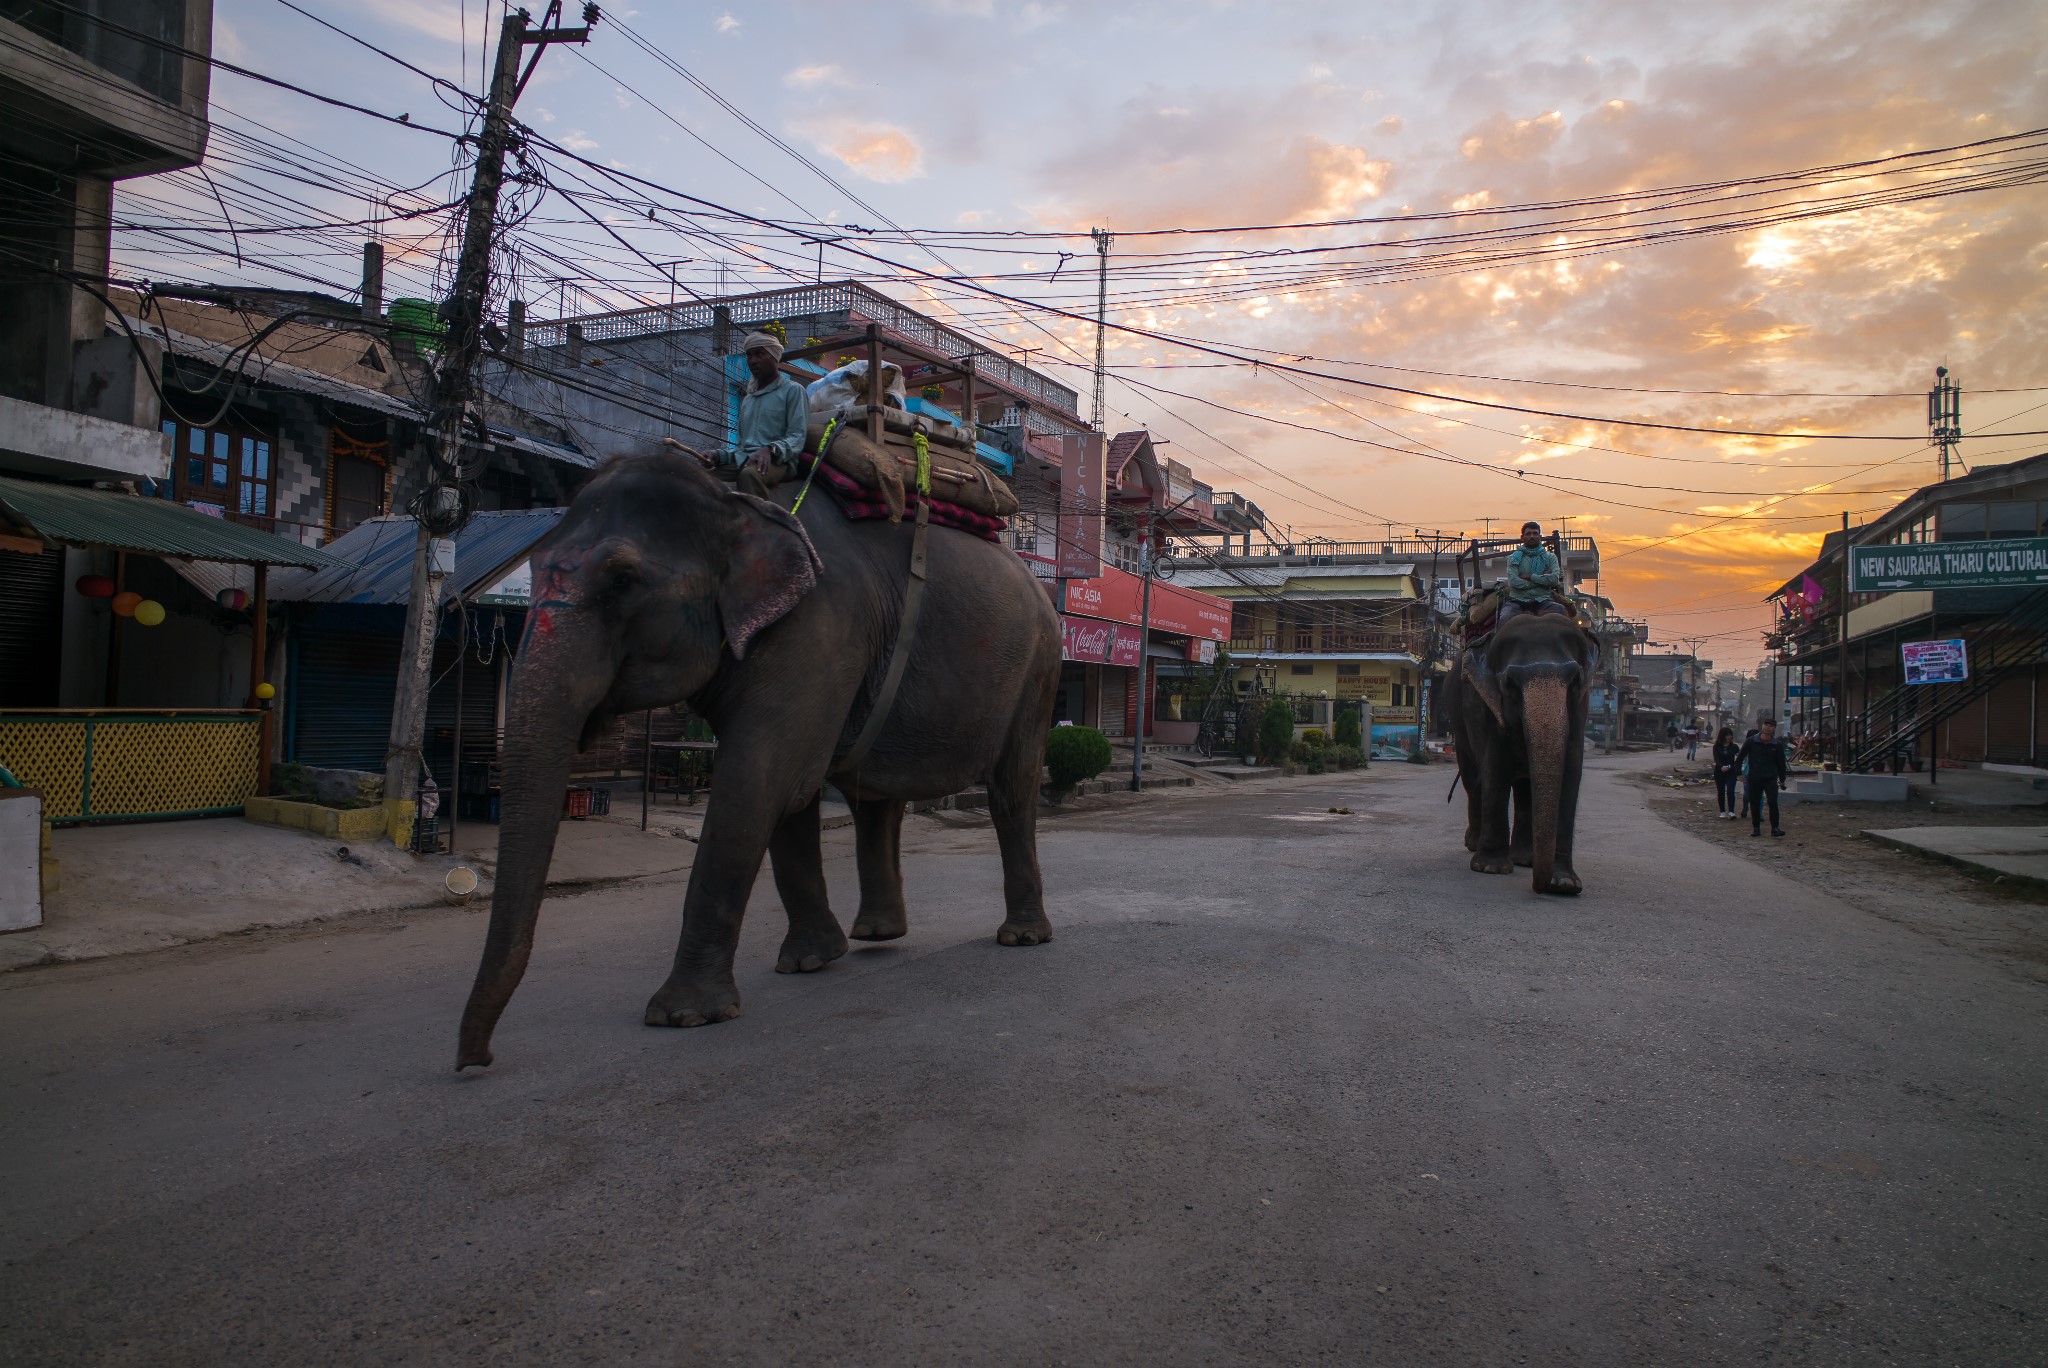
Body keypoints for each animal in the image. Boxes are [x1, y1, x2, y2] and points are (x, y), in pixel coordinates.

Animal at [458, 448, 1064, 1064]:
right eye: (536, 569)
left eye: (623, 579)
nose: (476, 1059)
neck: (730, 497)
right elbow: (787, 791)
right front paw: (809, 961)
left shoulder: (819, 628)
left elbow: (761, 780)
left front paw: (684, 1016)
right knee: (876, 797)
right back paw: (876, 935)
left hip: (1038, 668)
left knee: (1010, 792)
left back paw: (1022, 937)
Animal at [1441, 610, 1597, 896]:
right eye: (1510, 683)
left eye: (1575, 680)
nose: (1540, 887)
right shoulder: (1485, 703)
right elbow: (1496, 766)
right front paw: (1490, 868)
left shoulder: (1581, 706)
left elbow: (1571, 773)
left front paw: (1565, 883)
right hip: (1458, 719)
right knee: (1473, 780)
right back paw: (1475, 845)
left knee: (1524, 789)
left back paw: (1524, 860)